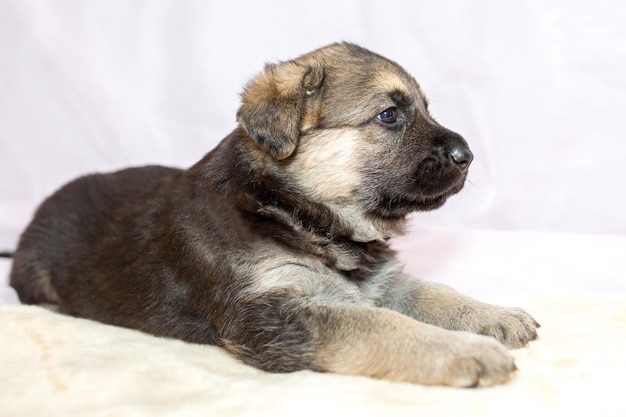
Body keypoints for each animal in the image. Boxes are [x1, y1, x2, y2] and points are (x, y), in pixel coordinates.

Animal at [8, 43, 536, 386]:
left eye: (426, 109)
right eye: (389, 115)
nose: (468, 155)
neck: (294, 210)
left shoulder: (378, 283)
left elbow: (432, 292)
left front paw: (492, 315)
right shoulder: (271, 313)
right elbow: (381, 325)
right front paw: (464, 351)